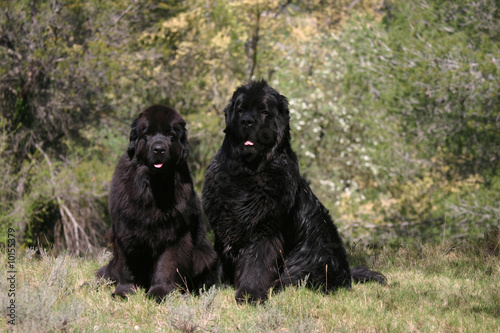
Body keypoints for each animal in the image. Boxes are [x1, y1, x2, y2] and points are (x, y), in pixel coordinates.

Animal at [97, 104, 219, 300]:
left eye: (170, 134)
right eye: (147, 133)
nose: (159, 149)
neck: (153, 186)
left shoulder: (174, 233)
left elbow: (166, 264)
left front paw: (159, 292)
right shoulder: (125, 229)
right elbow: (125, 265)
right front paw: (124, 291)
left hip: (204, 255)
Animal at [203, 80, 386, 304]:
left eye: (264, 111)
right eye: (240, 110)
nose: (247, 121)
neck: (248, 172)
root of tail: (347, 272)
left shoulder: (265, 229)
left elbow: (256, 264)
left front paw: (250, 294)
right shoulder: (224, 224)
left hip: (318, 253)